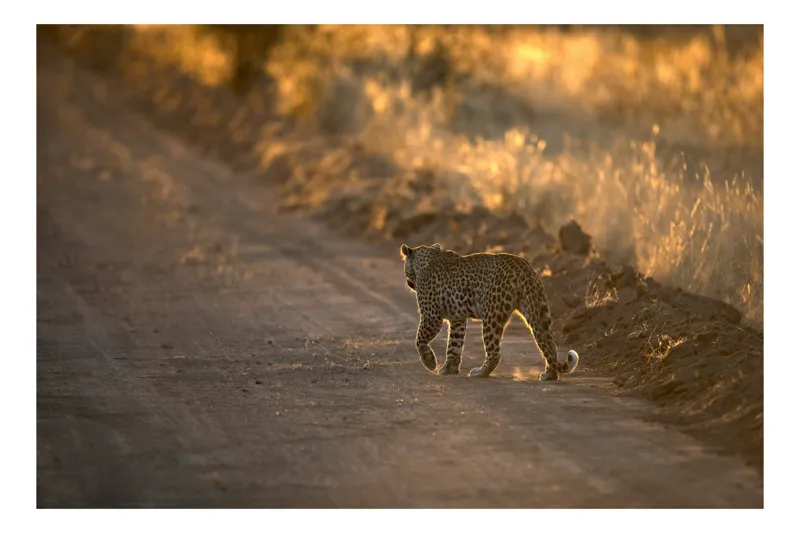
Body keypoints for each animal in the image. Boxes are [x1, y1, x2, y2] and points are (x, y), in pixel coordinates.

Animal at [400, 243, 579, 381]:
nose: (408, 283)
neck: (427, 258)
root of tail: (523, 266)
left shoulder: (431, 316)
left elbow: (419, 339)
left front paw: (430, 362)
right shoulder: (458, 319)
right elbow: (454, 344)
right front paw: (449, 368)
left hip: (492, 315)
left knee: (494, 353)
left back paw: (480, 372)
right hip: (537, 308)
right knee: (548, 344)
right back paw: (550, 375)